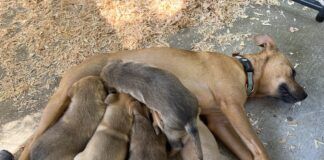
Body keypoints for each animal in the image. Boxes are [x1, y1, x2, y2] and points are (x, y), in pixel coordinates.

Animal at [19, 34, 308, 160]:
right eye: (293, 71)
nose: (305, 94)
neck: (245, 68)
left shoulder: (219, 121)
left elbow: (245, 152)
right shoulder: (233, 108)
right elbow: (258, 146)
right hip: (58, 102)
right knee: (29, 145)